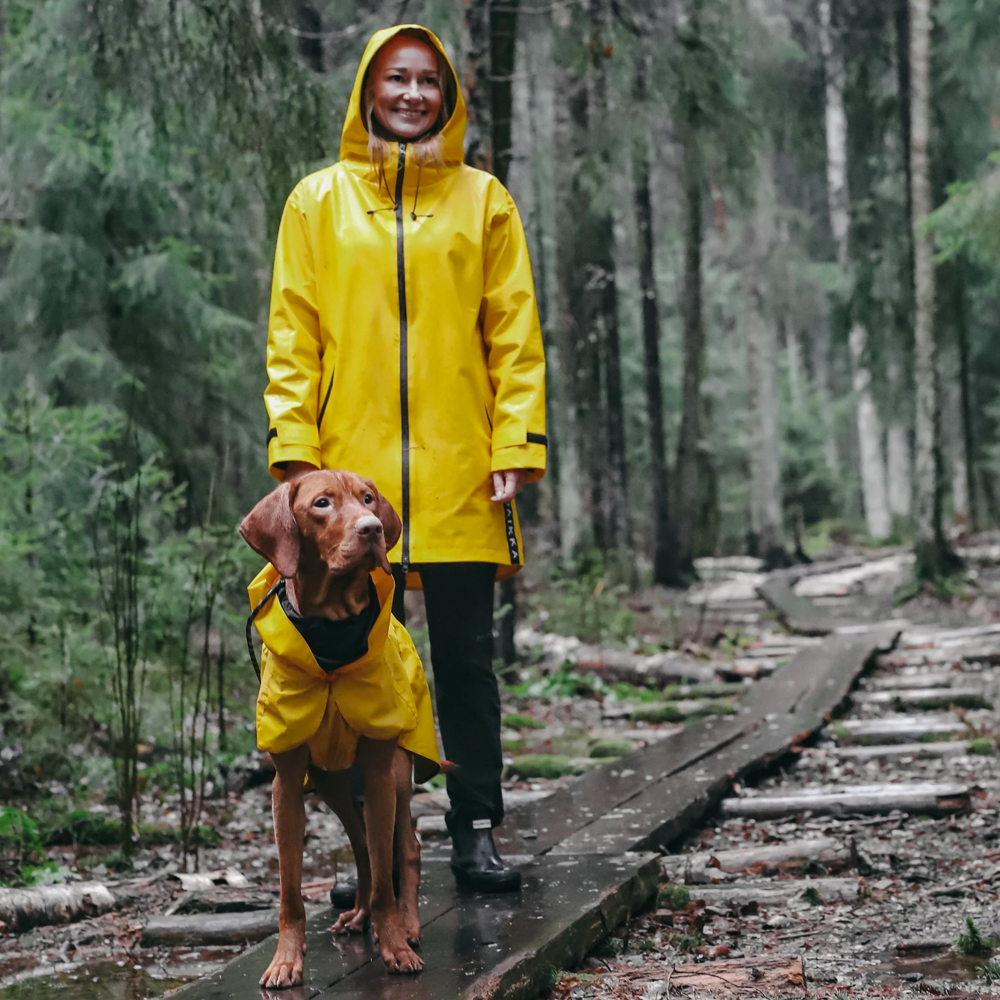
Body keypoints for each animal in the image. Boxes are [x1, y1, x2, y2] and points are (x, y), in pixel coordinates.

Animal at [244, 472, 432, 988]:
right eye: (322, 504)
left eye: (368, 499)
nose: (372, 529)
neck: (331, 634)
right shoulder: (287, 783)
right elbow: (290, 890)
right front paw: (286, 960)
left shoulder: (380, 769)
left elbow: (388, 876)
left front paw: (394, 946)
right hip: (333, 783)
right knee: (364, 848)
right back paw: (359, 916)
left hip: (395, 775)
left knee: (405, 848)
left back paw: (407, 925)